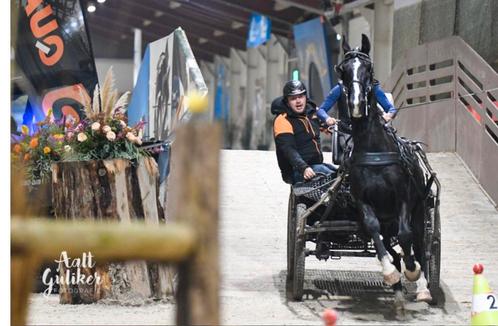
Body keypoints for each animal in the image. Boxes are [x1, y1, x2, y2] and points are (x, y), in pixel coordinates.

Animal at [336, 35, 434, 304]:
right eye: (343, 70)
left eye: (368, 69)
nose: (356, 104)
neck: (374, 151)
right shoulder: (363, 201)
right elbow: (373, 230)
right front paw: (390, 273)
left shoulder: (402, 198)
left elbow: (406, 235)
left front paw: (412, 271)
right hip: (387, 218)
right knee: (390, 243)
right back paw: (397, 281)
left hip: (420, 209)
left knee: (418, 241)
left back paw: (422, 285)